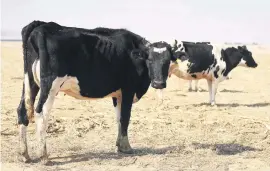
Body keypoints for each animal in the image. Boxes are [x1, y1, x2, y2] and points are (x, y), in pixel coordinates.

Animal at [16, 20, 188, 164]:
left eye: (167, 61)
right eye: (149, 60)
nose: (159, 83)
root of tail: (41, 25)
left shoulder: (117, 94)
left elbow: (119, 119)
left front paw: (119, 145)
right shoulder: (128, 89)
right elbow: (125, 118)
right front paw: (126, 147)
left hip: (30, 83)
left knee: (22, 110)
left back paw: (25, 155)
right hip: (50, 86)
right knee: (40, 113)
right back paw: (44, 156)